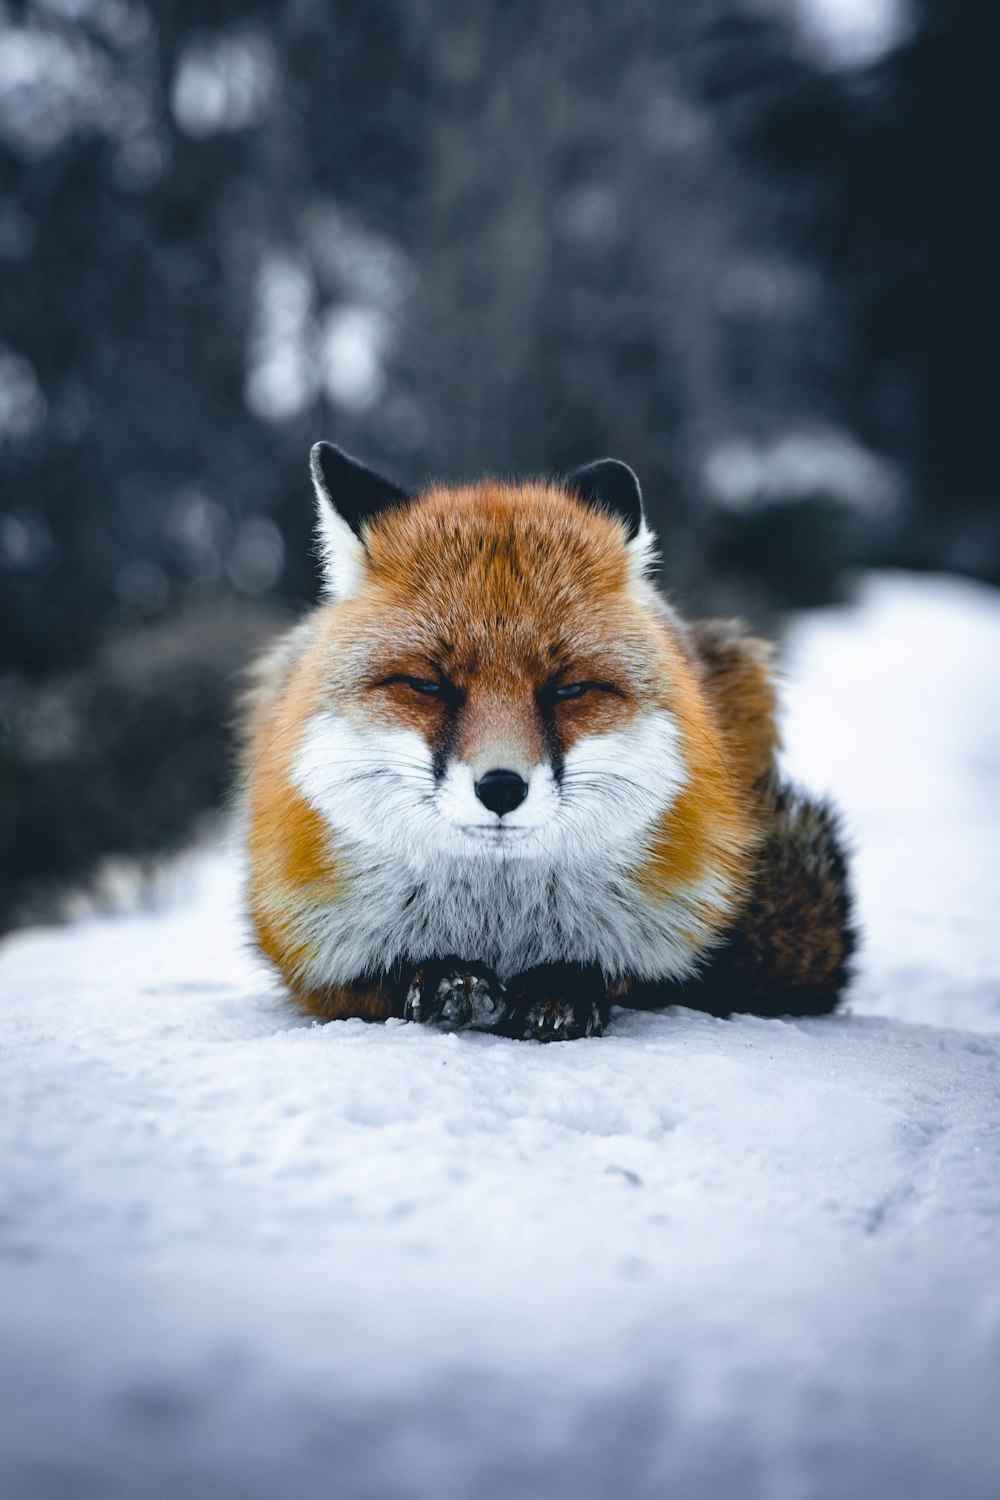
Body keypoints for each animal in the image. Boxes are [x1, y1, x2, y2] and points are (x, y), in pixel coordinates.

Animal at [238, 438, 857, 1038]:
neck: (498, 925)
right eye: (427, 685)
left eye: (569, 689)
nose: (501, 788)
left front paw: (562, 989)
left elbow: (622, 974)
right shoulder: (308, 955)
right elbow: (379, 979)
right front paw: (442, 977)